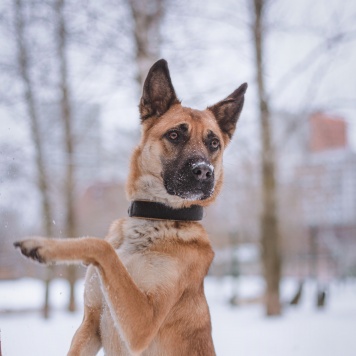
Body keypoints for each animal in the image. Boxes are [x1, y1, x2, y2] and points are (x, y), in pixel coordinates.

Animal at [14, 59, 248, 354]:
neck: (156, 218)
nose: (204, 171)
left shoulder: (143, 323)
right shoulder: (90, 323)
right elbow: (104, 251)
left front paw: (43, 246)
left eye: (214, 143)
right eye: (174, 135)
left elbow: (102, 247)